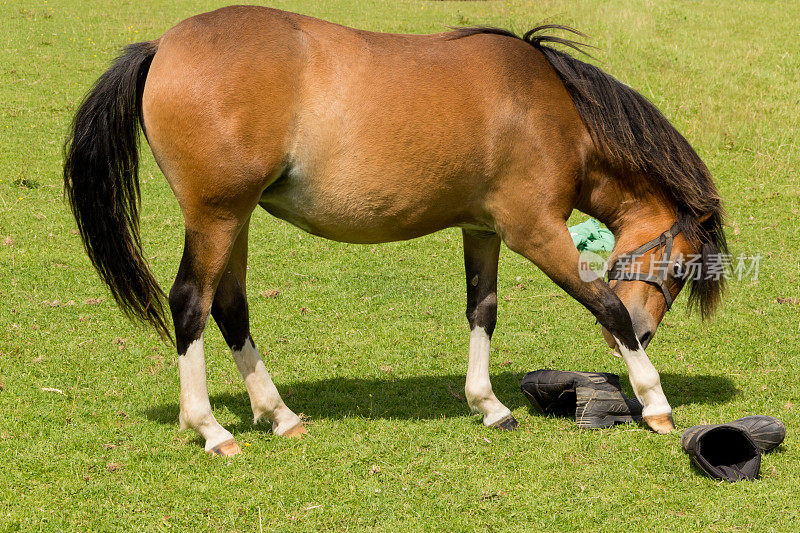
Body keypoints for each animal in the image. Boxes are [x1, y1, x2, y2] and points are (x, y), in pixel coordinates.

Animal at [62, 5, 724, 454]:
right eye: (680, 266)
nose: (646, 331)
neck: (548, 109)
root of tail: (162, 47)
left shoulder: (482, 230)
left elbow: (482, 311)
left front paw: (488, 405)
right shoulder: (535, 232)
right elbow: (603, 302)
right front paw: (654, 400)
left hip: (235, 220)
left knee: (229, 308)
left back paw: (278, 413)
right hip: (216, 216)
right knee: (190, 304)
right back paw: (211, 428)